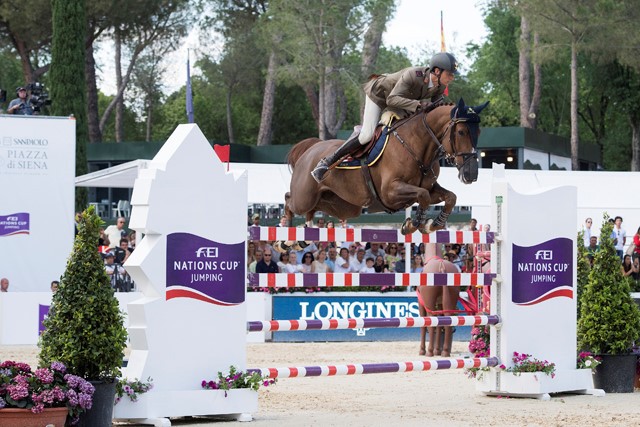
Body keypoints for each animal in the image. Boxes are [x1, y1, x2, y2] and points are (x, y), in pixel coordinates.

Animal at [282, 98, 488, 234]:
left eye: (479, 132)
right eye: (461, 132)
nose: (471, 174)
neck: (417, 146)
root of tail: (310, 149)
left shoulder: (430, 187)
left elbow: (450, 197)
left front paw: (433, 224)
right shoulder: (390, 191)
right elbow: (423, 196)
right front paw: (413, 224)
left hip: (344, 206)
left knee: (314, 208)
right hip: (304, 197)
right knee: (289, 200)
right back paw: (288, 230)